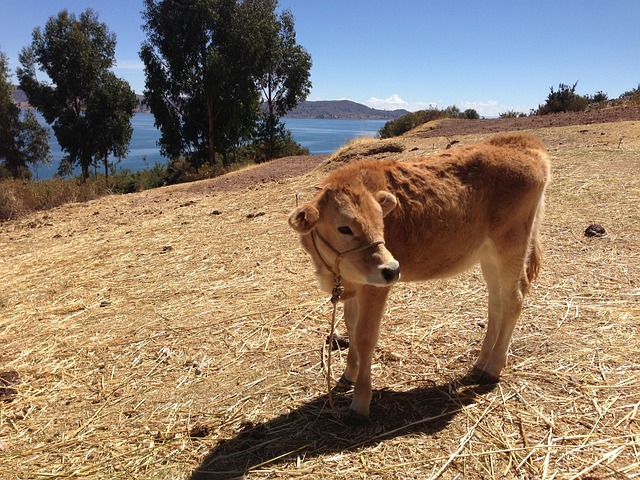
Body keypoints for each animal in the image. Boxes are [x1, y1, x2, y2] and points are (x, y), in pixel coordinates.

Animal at [289, 134, 550, 425]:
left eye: (381, 222)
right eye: (343, 227)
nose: (392, 269)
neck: (335, 272)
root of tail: (521, 142)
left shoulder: (374, 287)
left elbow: (365, 336)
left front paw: (360, 402)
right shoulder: (353, 285)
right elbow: (350, 327)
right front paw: (349, 374)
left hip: (511, 244)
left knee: (514, 299)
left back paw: (493, 368)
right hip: (489, 254)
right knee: (497, 301)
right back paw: (482, 362)